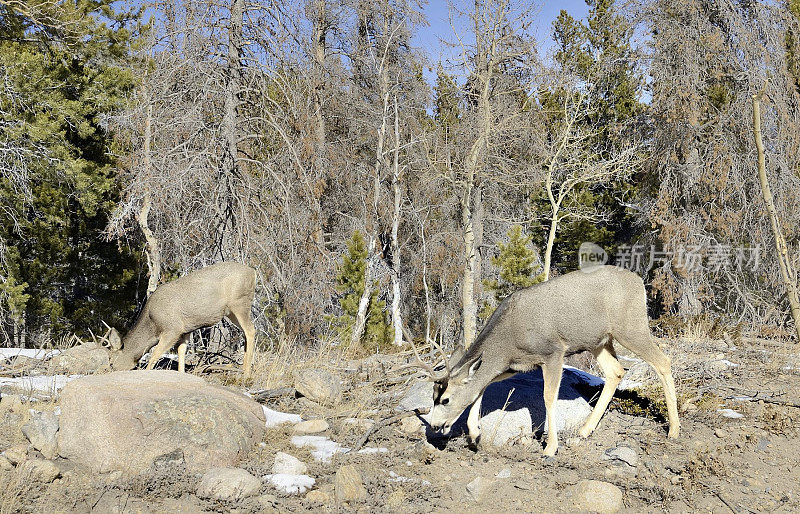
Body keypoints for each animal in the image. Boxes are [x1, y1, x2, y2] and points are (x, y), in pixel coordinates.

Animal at [106, 260, 256, 376]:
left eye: (111, 362)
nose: (107, 372)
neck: (152, 323)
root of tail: (252, 272)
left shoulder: (173, 328)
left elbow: (155, 354)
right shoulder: (185, 330)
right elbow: (181, 351)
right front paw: (182, 373)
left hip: (239, 302)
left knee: (251, 330)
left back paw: (246, 373)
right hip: (232, 312)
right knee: (245, 332)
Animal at [416, 264, 680, 456]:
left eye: (446, 399)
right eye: (433, 396)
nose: (435, 426)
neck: (507, 341)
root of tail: (639, 282)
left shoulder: (553, 352)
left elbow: (549, 397)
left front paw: (551, 447)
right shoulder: (514, 364)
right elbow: (482, 385)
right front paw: (474, 433)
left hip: (630, 327)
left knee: (663, 361)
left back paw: (674, 430)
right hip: (599, 341)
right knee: (616, 371)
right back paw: (584, 430)